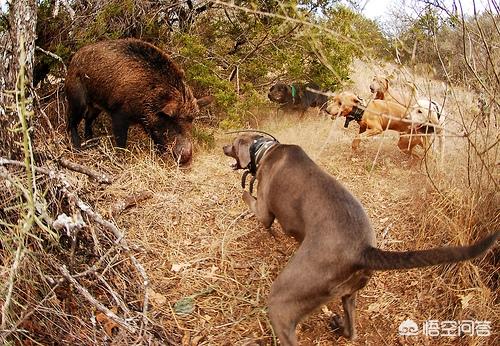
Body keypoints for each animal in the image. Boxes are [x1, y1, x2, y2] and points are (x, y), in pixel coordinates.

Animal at [224, 133, 500, 346]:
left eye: (234, 143)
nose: (223, 147)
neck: (264, 150)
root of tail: (363, 250)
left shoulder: (264, 211)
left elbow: (249, 199)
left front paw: (243, 191)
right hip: (349, 294)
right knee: (352, 331)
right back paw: (338, 325)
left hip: (282, 299)